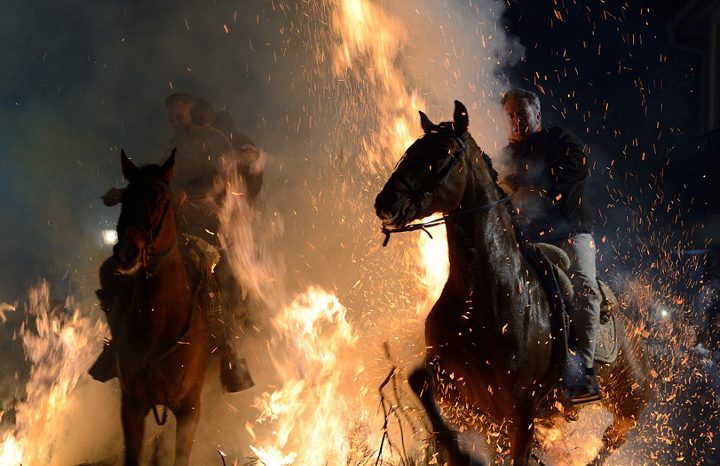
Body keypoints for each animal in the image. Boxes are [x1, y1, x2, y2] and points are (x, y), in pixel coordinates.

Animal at [107, 150, 212, 466]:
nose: (126, 252)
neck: (158, 326)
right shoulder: (131, 407)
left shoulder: (190, 410)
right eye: (125, 198)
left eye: (161, 198)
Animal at [374, 101, 651, 466]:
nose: (385, 202)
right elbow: (420, 383)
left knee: (611, 439)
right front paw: (457, 452)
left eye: (442, 153)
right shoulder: (460, 391)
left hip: (629, 405)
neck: (483, 294)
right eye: (410, 151)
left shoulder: (520, 410)